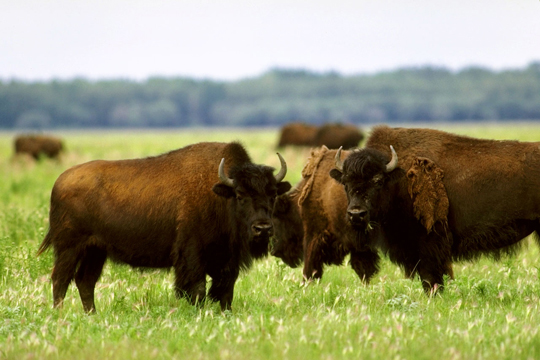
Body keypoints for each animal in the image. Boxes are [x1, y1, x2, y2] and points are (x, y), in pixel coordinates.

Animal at [37, 142, 292, 314]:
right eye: (240, 195)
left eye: (272, 195)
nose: (262, 228)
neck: (218, 195)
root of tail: (59, 182)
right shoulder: (192, 255)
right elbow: (197, 289)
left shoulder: (228, 261)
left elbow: (226, 290)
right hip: (70, 248)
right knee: (61, 278)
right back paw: (60, 314)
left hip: (95, 251)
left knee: (85, 281)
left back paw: (92, 315)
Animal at [330, 125, 540, 294]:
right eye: (345, 182)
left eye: (378, 181)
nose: (356, 214)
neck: (399, 179)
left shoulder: (429, 245)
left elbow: (432, 278)